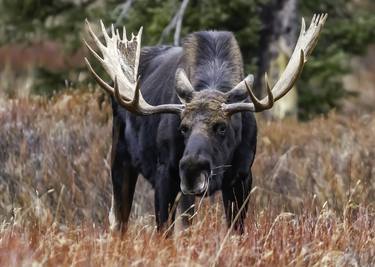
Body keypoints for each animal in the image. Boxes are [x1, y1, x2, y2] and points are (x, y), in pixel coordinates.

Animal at [83, 13, 328, 233]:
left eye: (222, 127)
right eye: (183, 127)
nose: (192, 169)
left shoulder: (242, 176)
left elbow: (235, 231)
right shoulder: (167, 174)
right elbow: (167, 232)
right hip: (120, 156)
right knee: (119, 220)